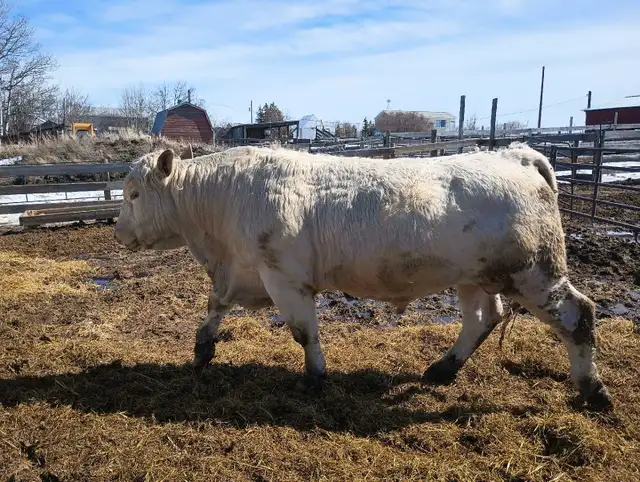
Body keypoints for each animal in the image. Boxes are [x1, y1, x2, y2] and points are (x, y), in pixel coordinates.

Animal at [113, 142, 613, 411]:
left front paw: (314, 377)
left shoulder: (284, 277)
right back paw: (442, 370)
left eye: (134, 194)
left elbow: (303, 331)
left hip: (534, 272)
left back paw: (593, 389)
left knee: (578, 315)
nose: (118, 233)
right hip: (474, 276)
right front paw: (201, 351)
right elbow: (214, 306)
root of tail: (517, 154)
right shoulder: (241, 272)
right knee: (482, 318)